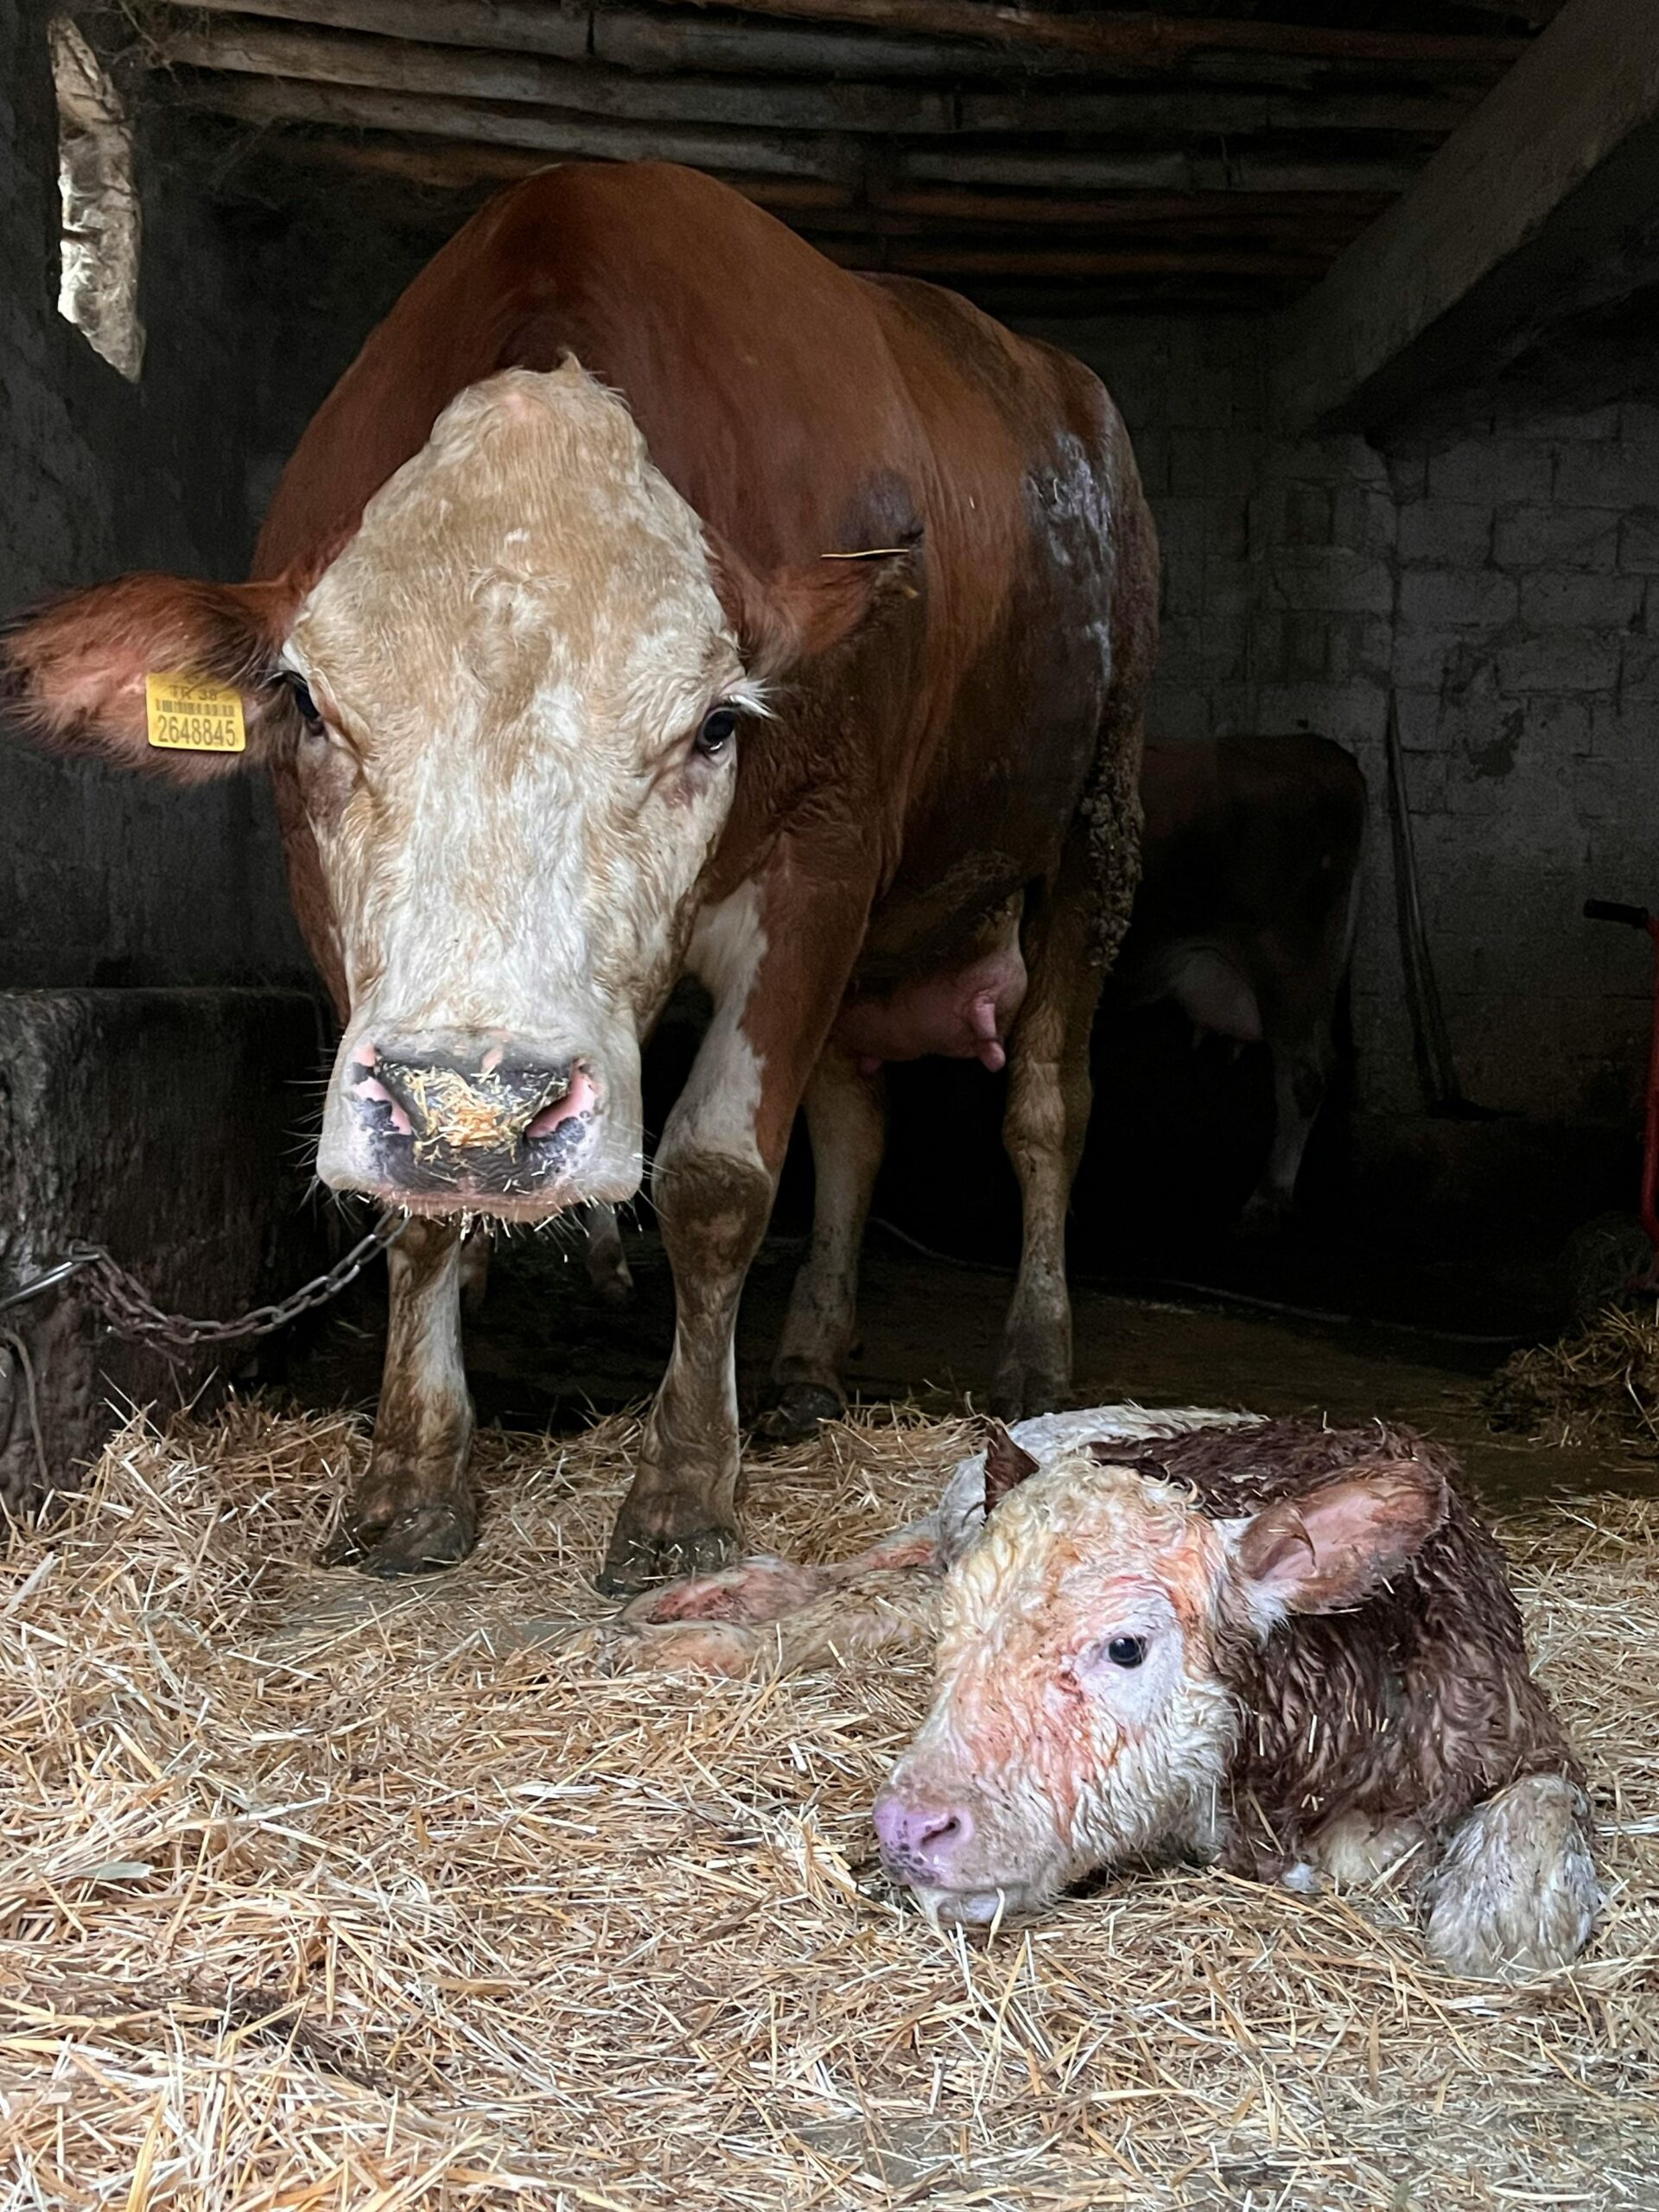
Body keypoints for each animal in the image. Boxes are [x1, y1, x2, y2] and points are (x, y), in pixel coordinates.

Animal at [2, 162, 1156, 1588]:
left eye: (715, 725)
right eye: (311, 706)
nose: (478, 1106)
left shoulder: (822, 857)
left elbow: (718, 1177)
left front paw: (682, 1491)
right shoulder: (326, 905)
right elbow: (417, 1215)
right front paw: (411, 1479)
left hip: (1099, 815)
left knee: (1047, 1103)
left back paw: (1035, 1356)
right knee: (855, 1117)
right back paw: (805, 1365)